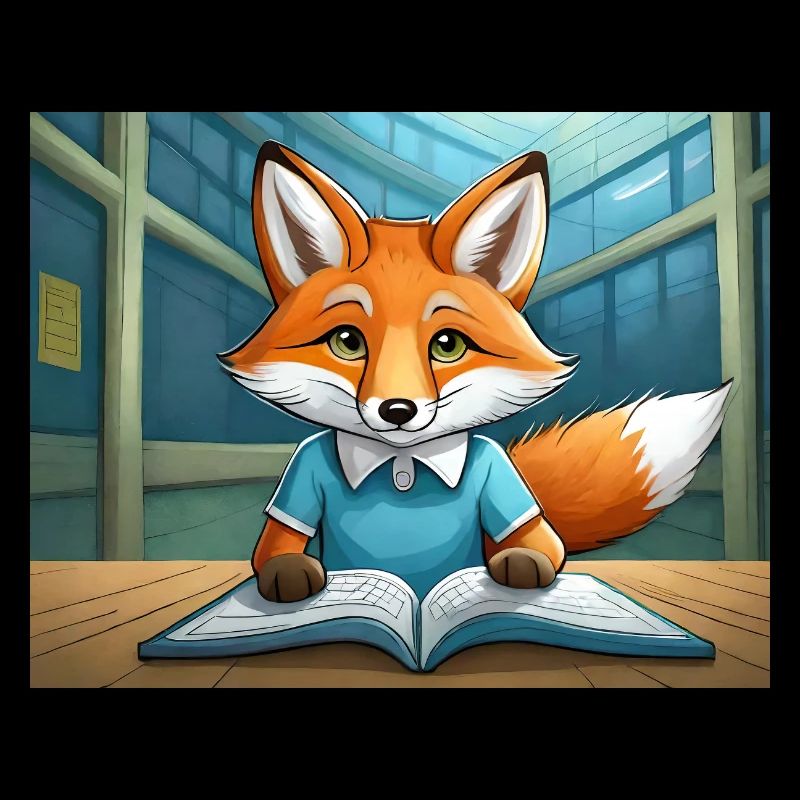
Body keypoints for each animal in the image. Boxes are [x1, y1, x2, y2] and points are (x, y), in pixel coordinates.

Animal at [218, 140, 731, 605]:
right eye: (348, 342)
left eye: (448, 345)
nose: (398, 410)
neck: (402, 461)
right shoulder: (301, 468)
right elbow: (274, 550)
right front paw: (290, 572)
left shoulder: (502, 473)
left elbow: (542, 546)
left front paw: (520, 564)